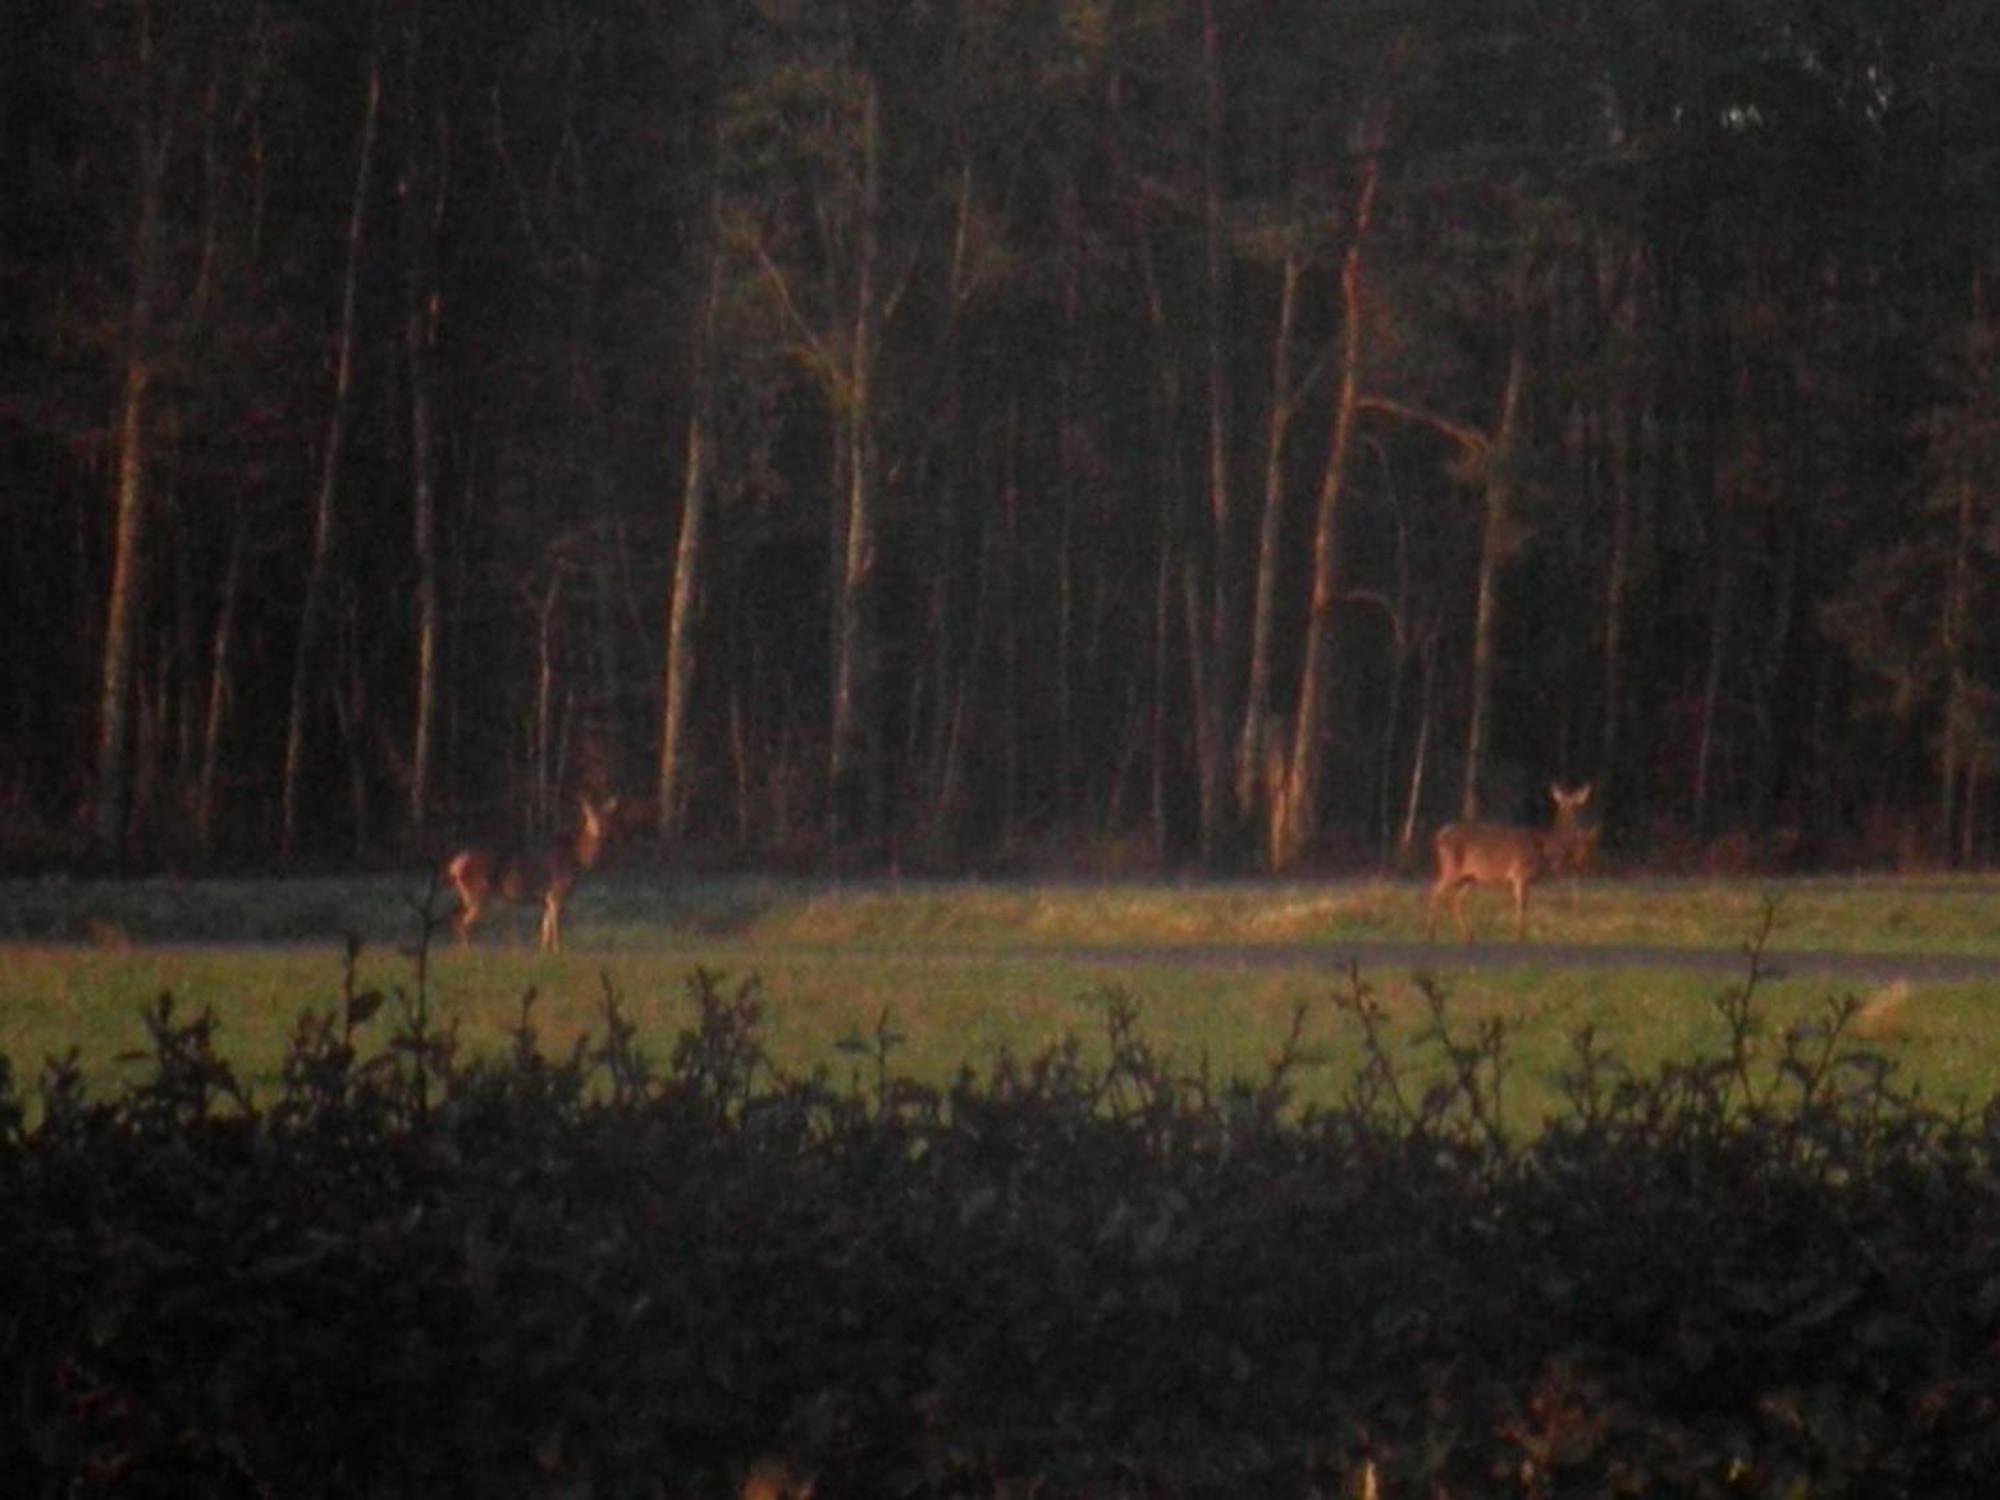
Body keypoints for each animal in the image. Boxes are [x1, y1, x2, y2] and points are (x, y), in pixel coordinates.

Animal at [446, 800, 616, 952]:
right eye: (589, 817)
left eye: (606, 818)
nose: (599, 830)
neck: (577, 860)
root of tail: (454, 865)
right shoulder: (556, 893)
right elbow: (554, 926)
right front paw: (558, 951)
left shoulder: (546, 898)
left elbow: (545, 928)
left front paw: (543, 953)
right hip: (478, 894)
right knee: (463, 923)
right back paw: (469, 953)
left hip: (467, 895)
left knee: (456, 920)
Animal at [1424, 780, 1592, 944]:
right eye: (1563, 805)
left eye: (1577, 805)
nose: (1576, 821)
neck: (1547, 848)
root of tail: (1440, 834)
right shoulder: (1521, 874)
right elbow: (1522, 907)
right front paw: (1520, 938)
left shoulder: (1521, 879)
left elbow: (1521, 906)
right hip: (1450, 868)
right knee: (1435, 892)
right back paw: (1431, 935)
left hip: (1469, 877)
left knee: (1455, 901)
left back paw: (1468, 937)